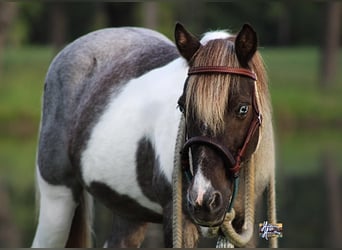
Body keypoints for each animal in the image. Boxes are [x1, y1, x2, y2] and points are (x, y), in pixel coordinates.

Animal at [32, 23, 276, 248]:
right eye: (182, 106)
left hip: (128, 212)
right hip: (57, 200)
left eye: (243, 109)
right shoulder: (176, 219)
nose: (204, 199)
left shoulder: (242, 226)